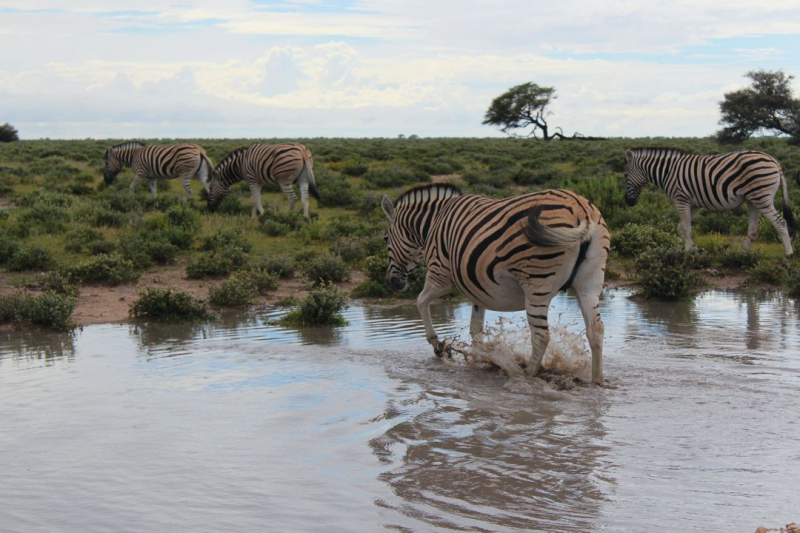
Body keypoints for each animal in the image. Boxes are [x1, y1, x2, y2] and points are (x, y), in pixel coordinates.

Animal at [378, 183, 608, 382]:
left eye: (385, 238)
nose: (392, 283)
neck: (433, 223)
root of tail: (580, 208)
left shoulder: (440, 275)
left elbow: (421, 301)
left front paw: (439, 346)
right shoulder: (477, 288)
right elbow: (475, 330)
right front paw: (479, 357)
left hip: (537, 283)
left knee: (541, 336)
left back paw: (526, 375)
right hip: (590, 283)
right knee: (595, 330)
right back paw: (596, 381)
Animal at [624, 148, 792, 258]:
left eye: (625, 175)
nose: (628, 202)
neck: (667, 172)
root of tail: (774, 161)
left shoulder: (681, 199)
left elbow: (686, 228)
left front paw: (687, 253)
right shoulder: (693, 204)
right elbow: (681, 228)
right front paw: (695, 249)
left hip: (761, 197)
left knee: (781, 222)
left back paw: (788, 255)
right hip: (753, 199)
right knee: (753, 228)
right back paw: (742, 253)